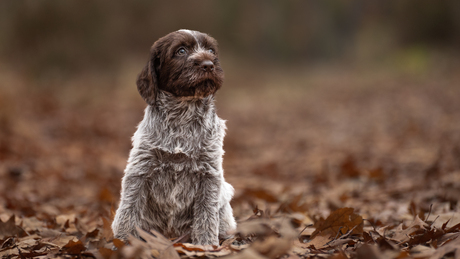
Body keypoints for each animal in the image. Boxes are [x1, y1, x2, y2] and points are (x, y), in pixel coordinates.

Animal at [110, 29, 235, 247]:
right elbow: (129, 209)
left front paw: (206, 245)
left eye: (211, 50)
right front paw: (123, 241)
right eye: (181, 51)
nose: (208, 64)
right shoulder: (140, 170)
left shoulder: (209, 174)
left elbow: (206, 214)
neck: (182, 114)